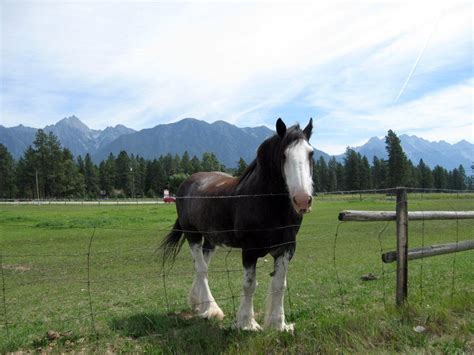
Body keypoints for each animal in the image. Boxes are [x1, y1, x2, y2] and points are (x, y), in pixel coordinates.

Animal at [161, 118, 312, 332]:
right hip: (193, 235)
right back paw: (211, 309)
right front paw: (247, 323)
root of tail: (186, 184)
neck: (266, 201)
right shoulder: (249, 250)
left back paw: (198, 303)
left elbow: (279, 285)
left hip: (211, 240)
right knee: (202, 269)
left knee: (201, 266)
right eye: (283, 154)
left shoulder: (287, 248)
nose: (302, 200)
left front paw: (278, 324)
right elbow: (249, 285)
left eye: (310, 153)